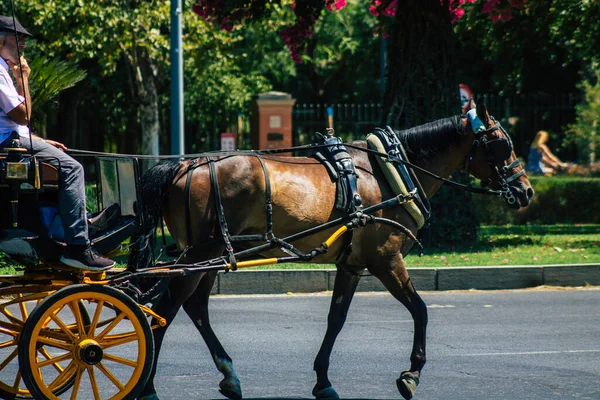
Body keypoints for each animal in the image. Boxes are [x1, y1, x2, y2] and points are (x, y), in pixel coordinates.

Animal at [129, 101, 532, 400]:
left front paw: (323, 380)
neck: (388, 172)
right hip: (200, 255)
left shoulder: (352, 265)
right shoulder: (386, 260)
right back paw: (147, 386)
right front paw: (412, 373)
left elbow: (336, 319)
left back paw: (228, 374)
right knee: (166, 310)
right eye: (502, 144)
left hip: (208, 258)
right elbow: (420, 309)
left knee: (194, 307)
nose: (525, 190)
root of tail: (185, 165)